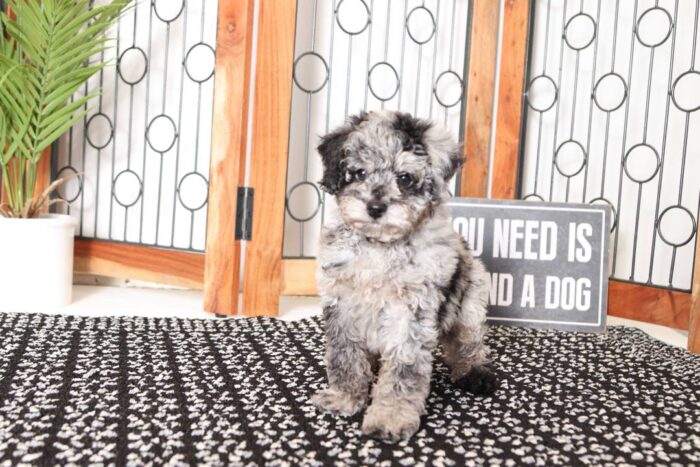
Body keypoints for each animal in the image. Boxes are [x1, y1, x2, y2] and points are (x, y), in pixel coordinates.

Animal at [312, 109, 498, 442]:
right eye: (359, 173)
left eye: (405, 178)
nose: (375, 207)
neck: (380, 245)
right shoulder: (342, 305)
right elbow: (345, 356)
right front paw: (345, 397)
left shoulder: (410, 312)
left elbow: (402, 369)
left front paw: (390, 416)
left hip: (470, 305)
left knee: (468, 345)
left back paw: (474, 374)